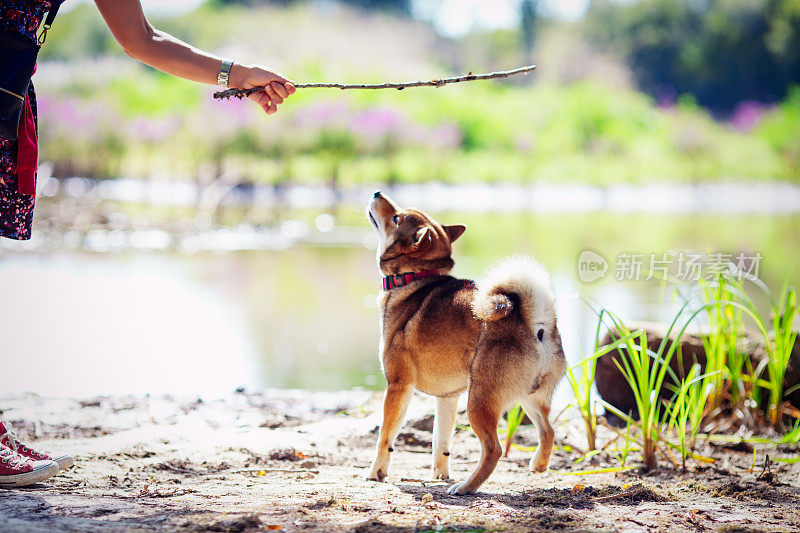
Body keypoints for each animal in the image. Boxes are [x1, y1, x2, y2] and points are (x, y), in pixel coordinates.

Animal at [366, 192, 564, 494]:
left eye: (397, 217)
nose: (377, 193)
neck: (415, 278)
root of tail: (535, 322)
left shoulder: (398, 385)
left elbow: (385, 436)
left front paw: (376, 472)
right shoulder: (447, 398)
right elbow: (441, 442)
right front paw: (439, 475)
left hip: (479, 401)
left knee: (494, 449)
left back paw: (467, 486)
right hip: (529, 396)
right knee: (548, 431)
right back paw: (538, 465)